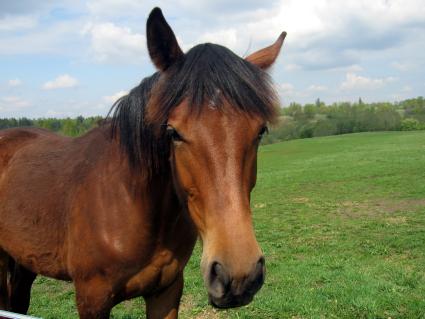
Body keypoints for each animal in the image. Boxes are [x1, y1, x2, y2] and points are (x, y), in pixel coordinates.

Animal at [0, 7, 284, 319]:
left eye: (260, 131)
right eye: (173, 132)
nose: (238, 275)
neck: (129, 203)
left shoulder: (166, 291)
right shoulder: (91, 299)